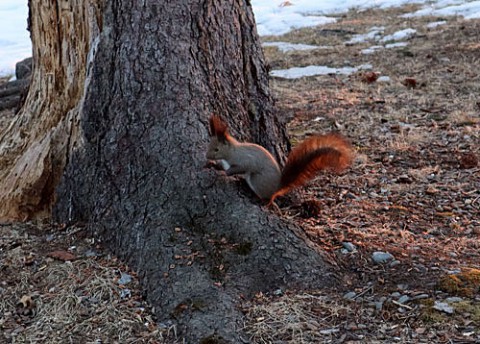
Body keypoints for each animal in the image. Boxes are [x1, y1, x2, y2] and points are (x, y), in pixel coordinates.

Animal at [206, 115, 352, 204]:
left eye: (216, 149)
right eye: (209, 144)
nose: (207, 156)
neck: (231, 152)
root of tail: (278, 187)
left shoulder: (243, 160)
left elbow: (238, 168)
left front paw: (221, 174)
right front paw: (212, 165)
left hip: (257, 181)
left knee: (269, 198)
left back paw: (262, 201)